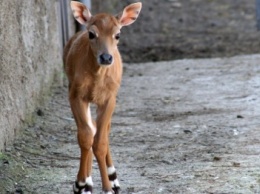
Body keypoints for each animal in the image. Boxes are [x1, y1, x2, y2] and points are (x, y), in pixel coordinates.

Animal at [63, 1, 142, 194]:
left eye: (118, 34)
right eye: (92, 34)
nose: (106, 57)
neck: (96, 79)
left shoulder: (110, 98)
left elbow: (100, 142)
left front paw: (107, 187)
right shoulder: (75, 94)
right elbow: (85, 137)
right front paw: (80, 183)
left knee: (104, 131)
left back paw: (113, 178)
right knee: (91, 129)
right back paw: (88, 183)